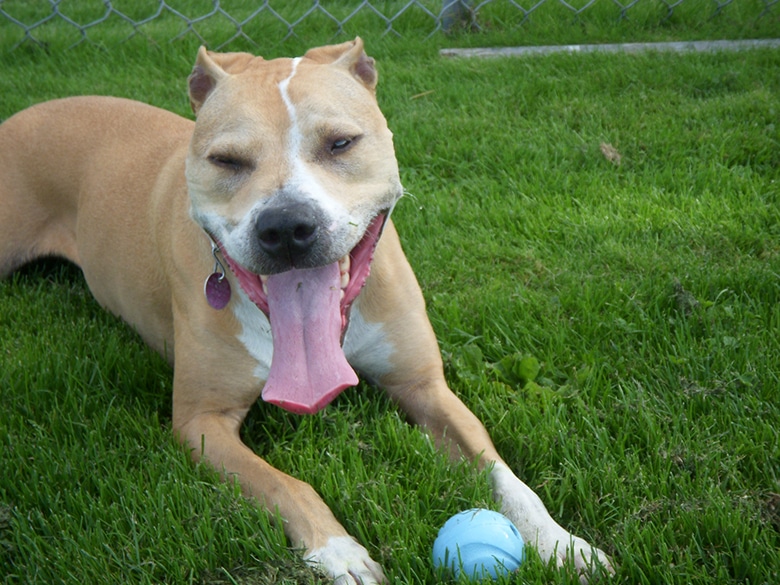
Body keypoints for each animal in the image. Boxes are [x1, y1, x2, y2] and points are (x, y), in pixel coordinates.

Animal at [0, 38, 612, 580]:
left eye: (341, 143)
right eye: (226, 160)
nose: (286, 226)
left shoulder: (425, 387)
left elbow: (501, 472)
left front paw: (562, 542)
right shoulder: (201, 422)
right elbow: (285, 484)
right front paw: (338, 551)